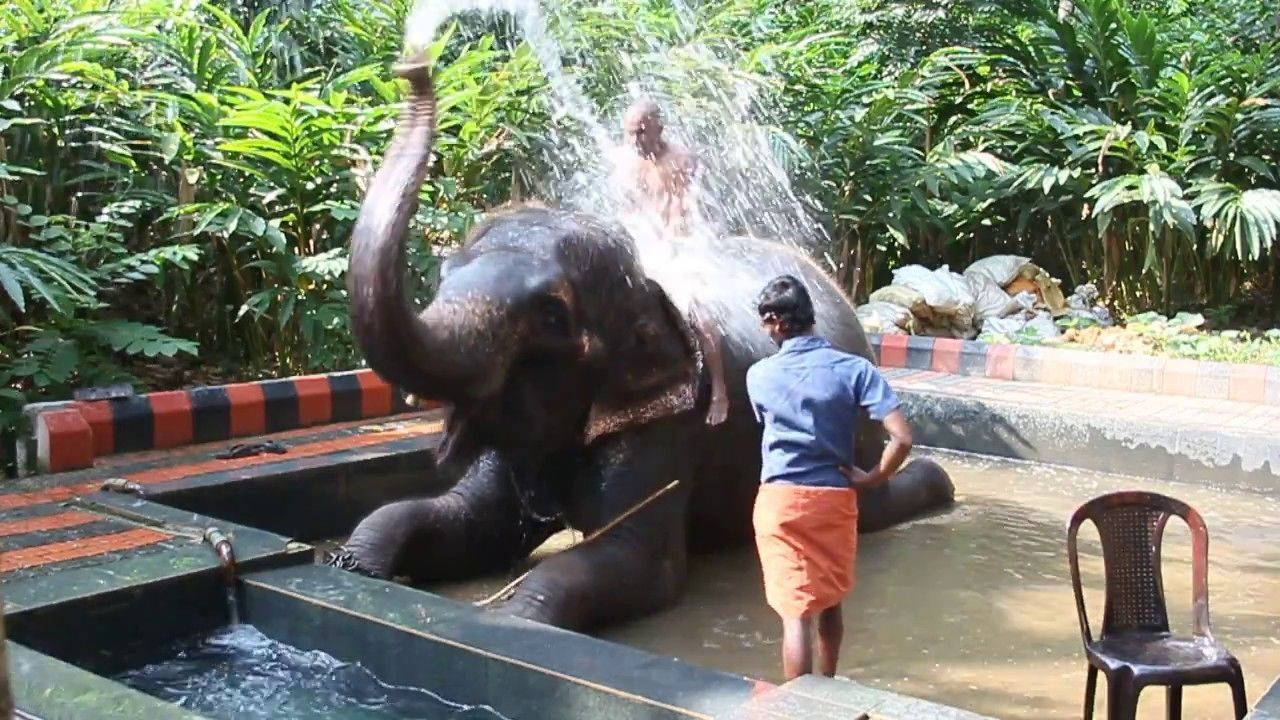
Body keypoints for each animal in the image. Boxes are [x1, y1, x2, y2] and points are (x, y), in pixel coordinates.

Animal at [325, 55, 956, 634]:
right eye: (445, 273)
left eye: (552, 316)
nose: (413, 66)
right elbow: (462, 519)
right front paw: (352, 567)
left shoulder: (672, 422)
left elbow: (640, 565)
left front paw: (518, 621)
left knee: (868, 505)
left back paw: (939, 485)